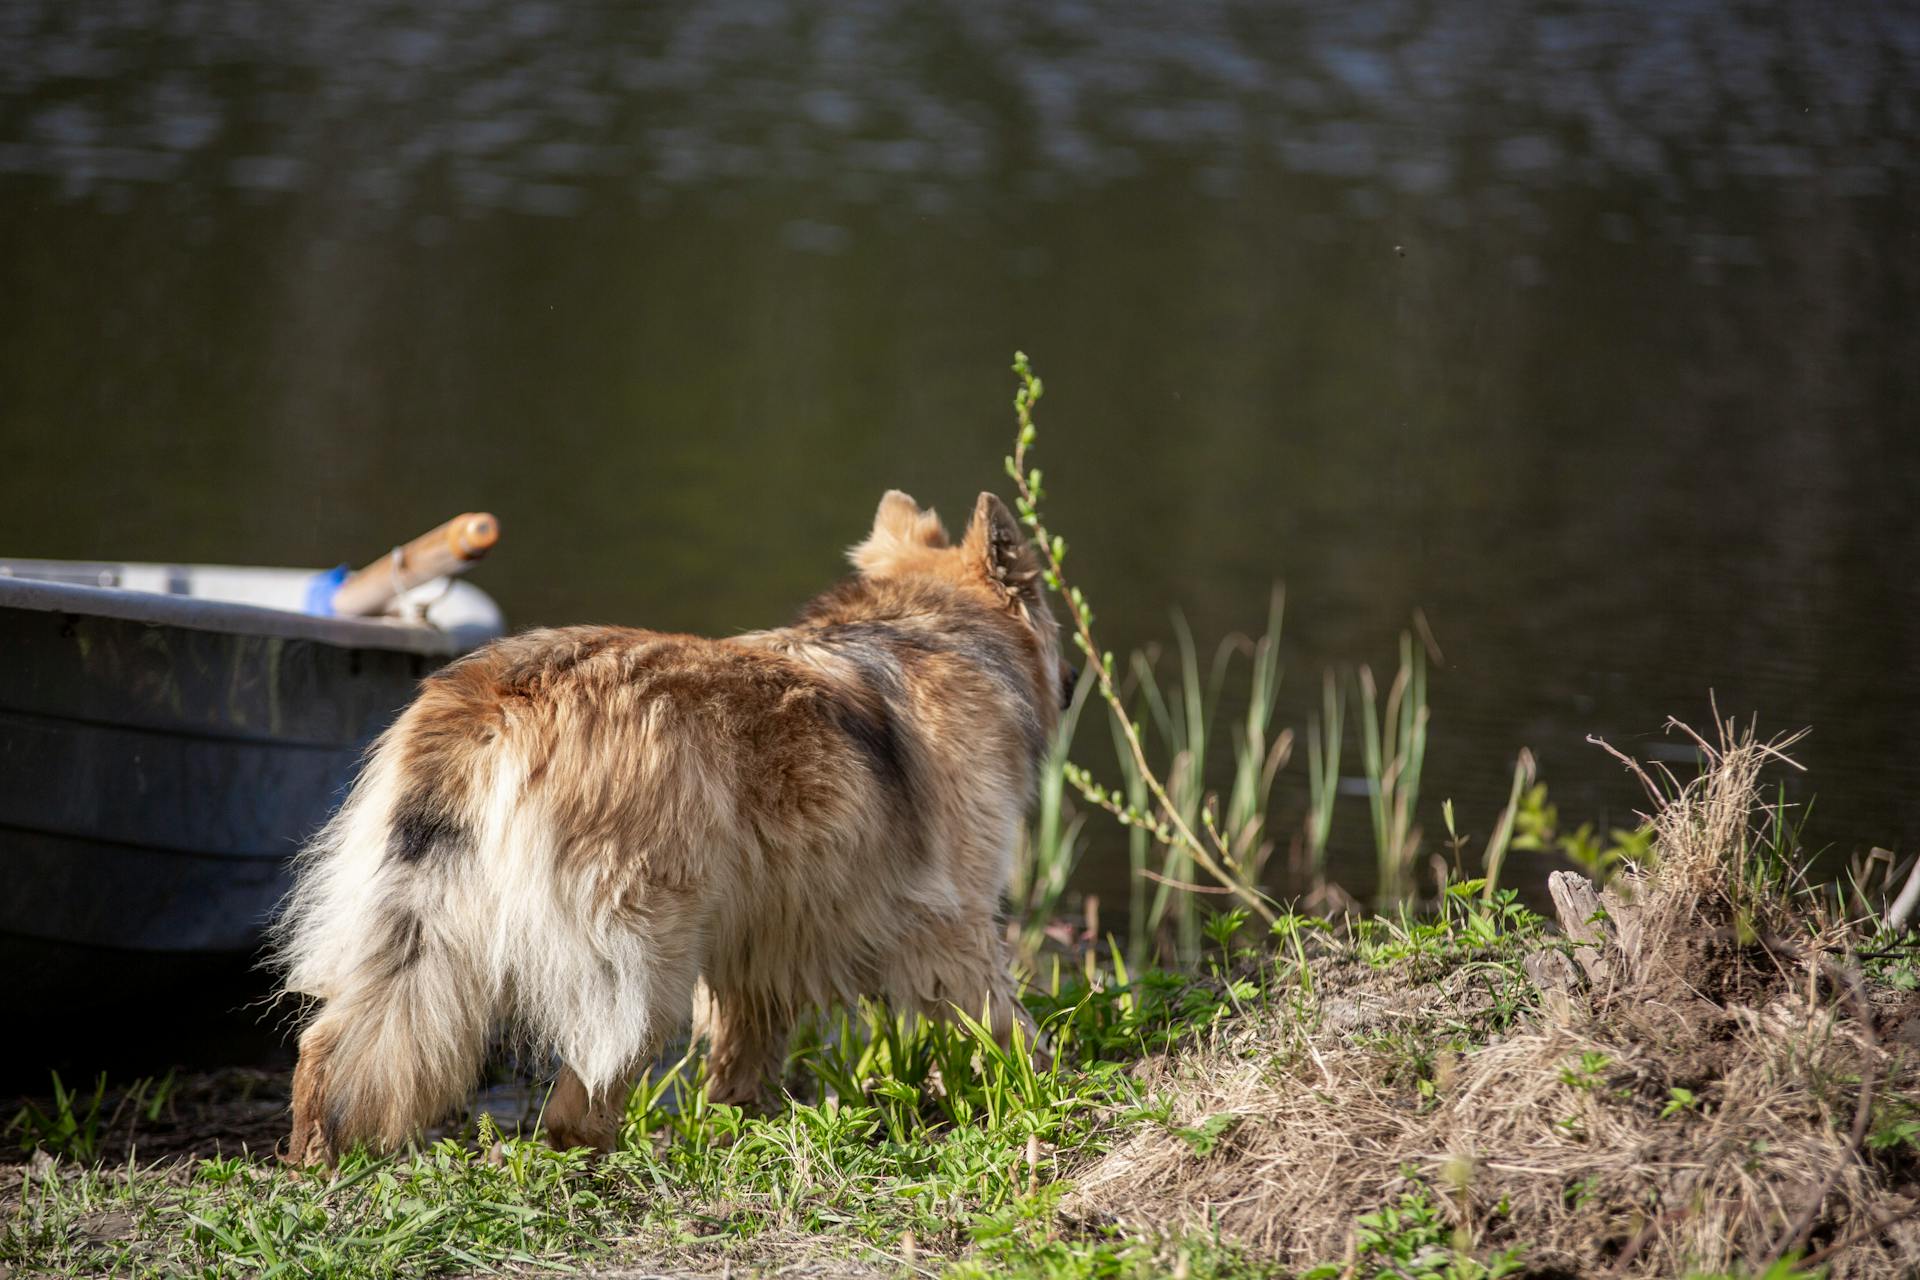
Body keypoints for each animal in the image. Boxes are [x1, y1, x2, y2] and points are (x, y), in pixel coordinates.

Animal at [270, 487, 1067, 1159]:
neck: (928, 626)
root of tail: (497, 695)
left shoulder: (762, 945)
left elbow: (746, 1054)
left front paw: (742, 1123)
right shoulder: (956, 922)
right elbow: (1005, 1019)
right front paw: (1052, 1088)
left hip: (418, 924)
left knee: (330, 1042)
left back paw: (314, 1157)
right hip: (647, 952)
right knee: (580, 1097)